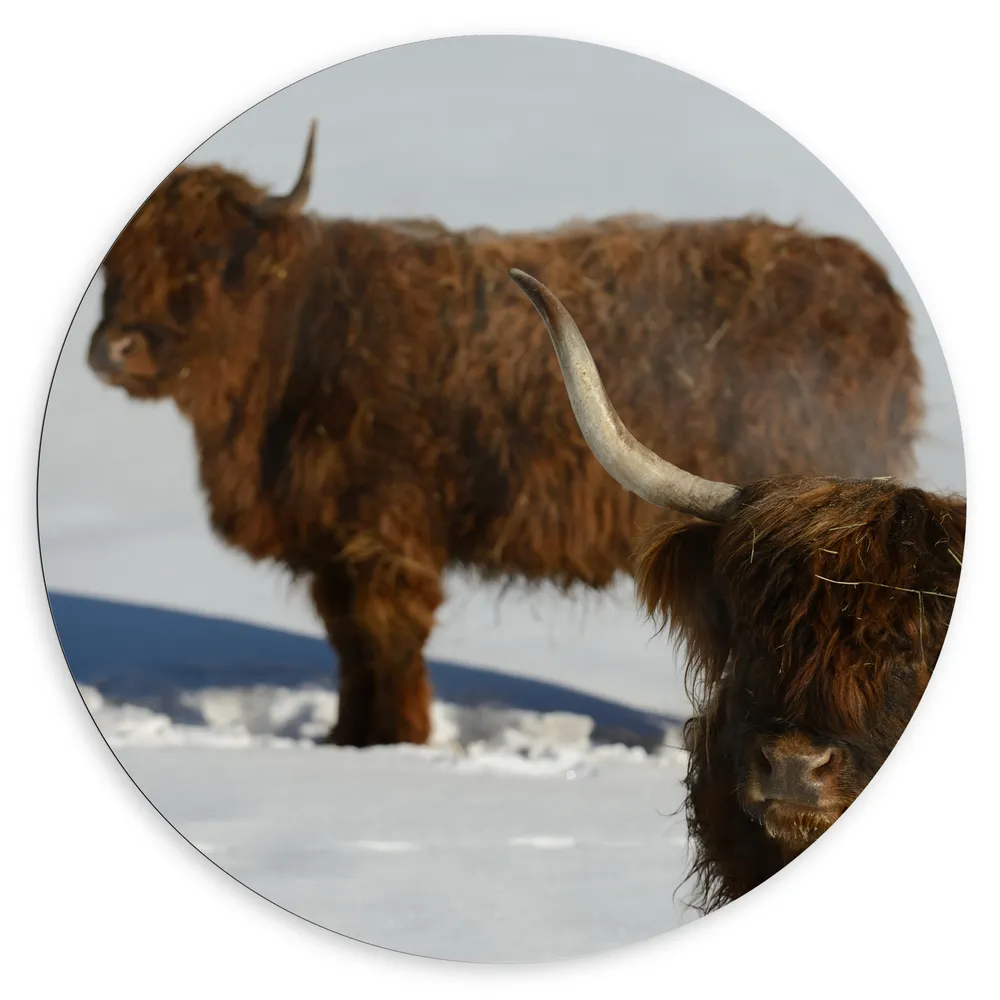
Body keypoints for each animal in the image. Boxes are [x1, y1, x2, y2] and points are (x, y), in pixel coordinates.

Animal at [86, 121, 924, 748]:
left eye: (203, 265)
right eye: (118, 266)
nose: (114, 349)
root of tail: (863, 281)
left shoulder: (384, 532)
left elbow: (387, 641)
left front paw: (394, 742)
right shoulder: (335, 540)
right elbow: (350, 644)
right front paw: (347, 739)